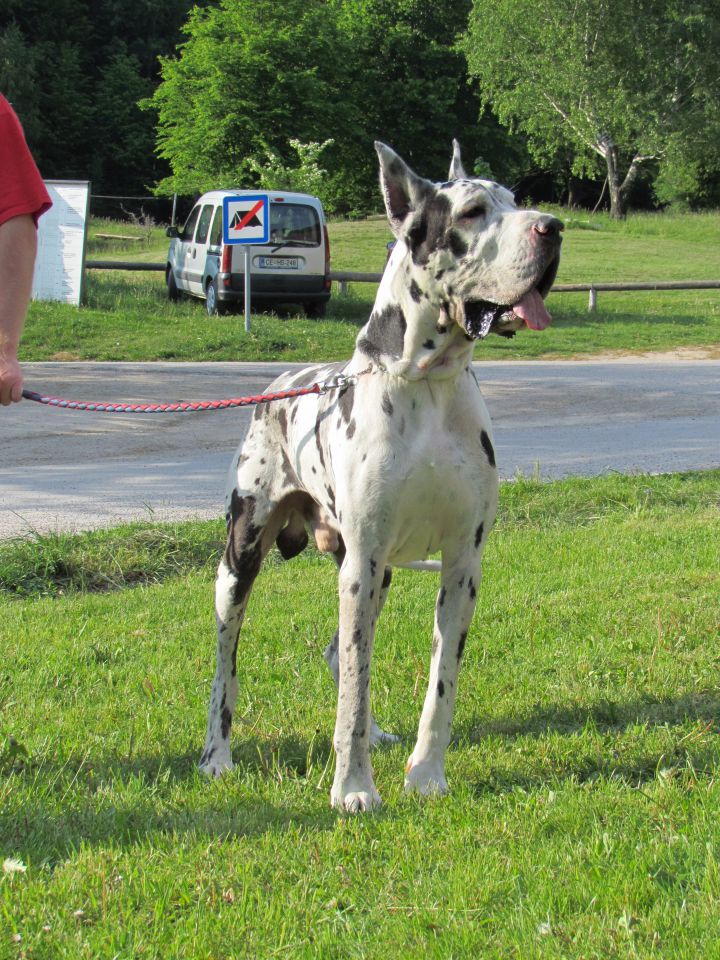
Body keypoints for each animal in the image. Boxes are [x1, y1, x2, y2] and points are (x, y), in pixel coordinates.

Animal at [197, 141, 564, 808]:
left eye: (515, 199)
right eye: (472, 212)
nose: (553, 227)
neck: (427, 384)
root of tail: (277, 386)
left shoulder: (460, 564)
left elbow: (439, 685)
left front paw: (426, 776)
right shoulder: (363, 562)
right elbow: (352, 686)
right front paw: (353, 788)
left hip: (377, 571)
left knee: (336, 654)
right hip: (240, 562)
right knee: (225, 663)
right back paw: (217, 754)